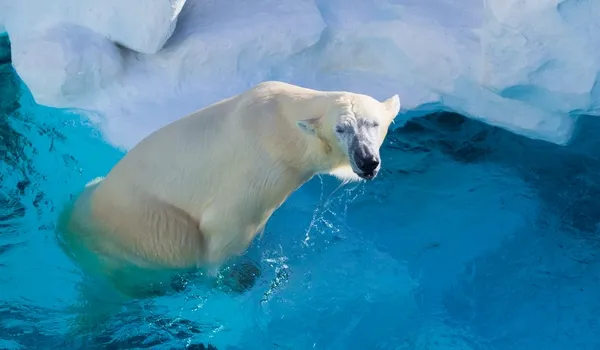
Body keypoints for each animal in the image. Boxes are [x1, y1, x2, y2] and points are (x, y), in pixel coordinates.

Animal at [56, 80, 400, 296]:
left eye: (374, 124)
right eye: (341, 129)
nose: (367, 161)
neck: (279, 125)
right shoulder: (258, 173)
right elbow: (223, 230)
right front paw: (235, 277)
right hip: (144, 224)